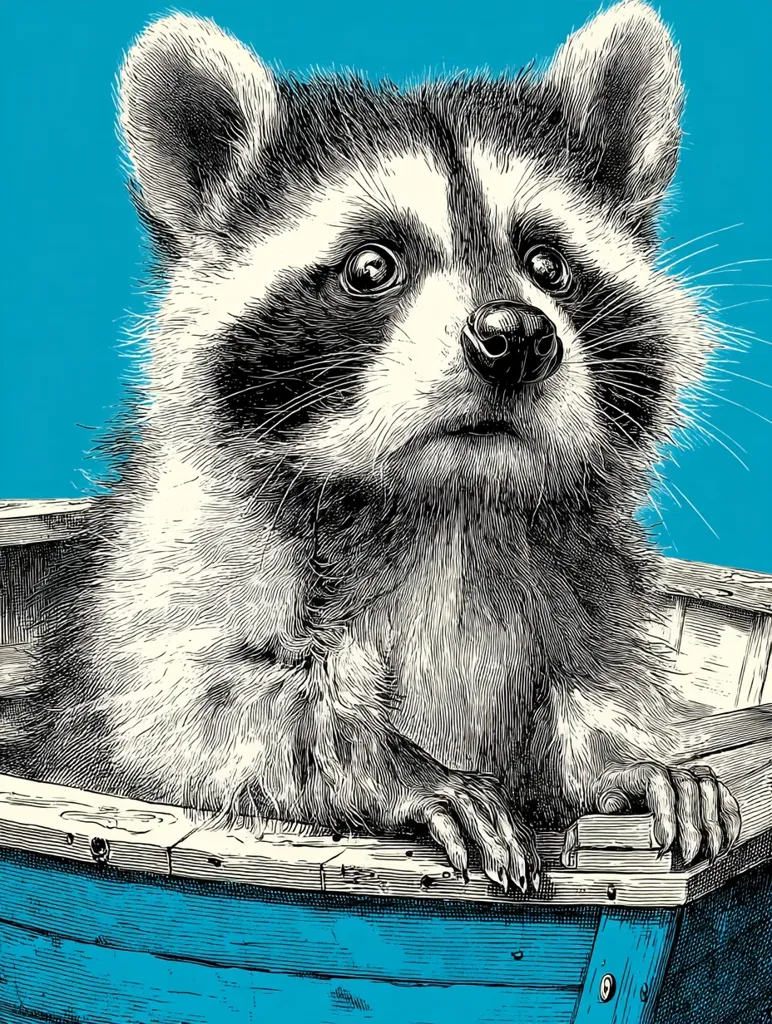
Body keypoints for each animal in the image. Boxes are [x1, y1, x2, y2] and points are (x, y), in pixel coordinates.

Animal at [5, 0, 741, 892]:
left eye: (548, 264)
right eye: (370, 267)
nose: (516, 336)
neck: (451, 504)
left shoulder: (582, 579)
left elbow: (591, 674)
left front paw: (613, 761)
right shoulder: (179, 553)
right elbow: (193, 712)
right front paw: (399, 770)